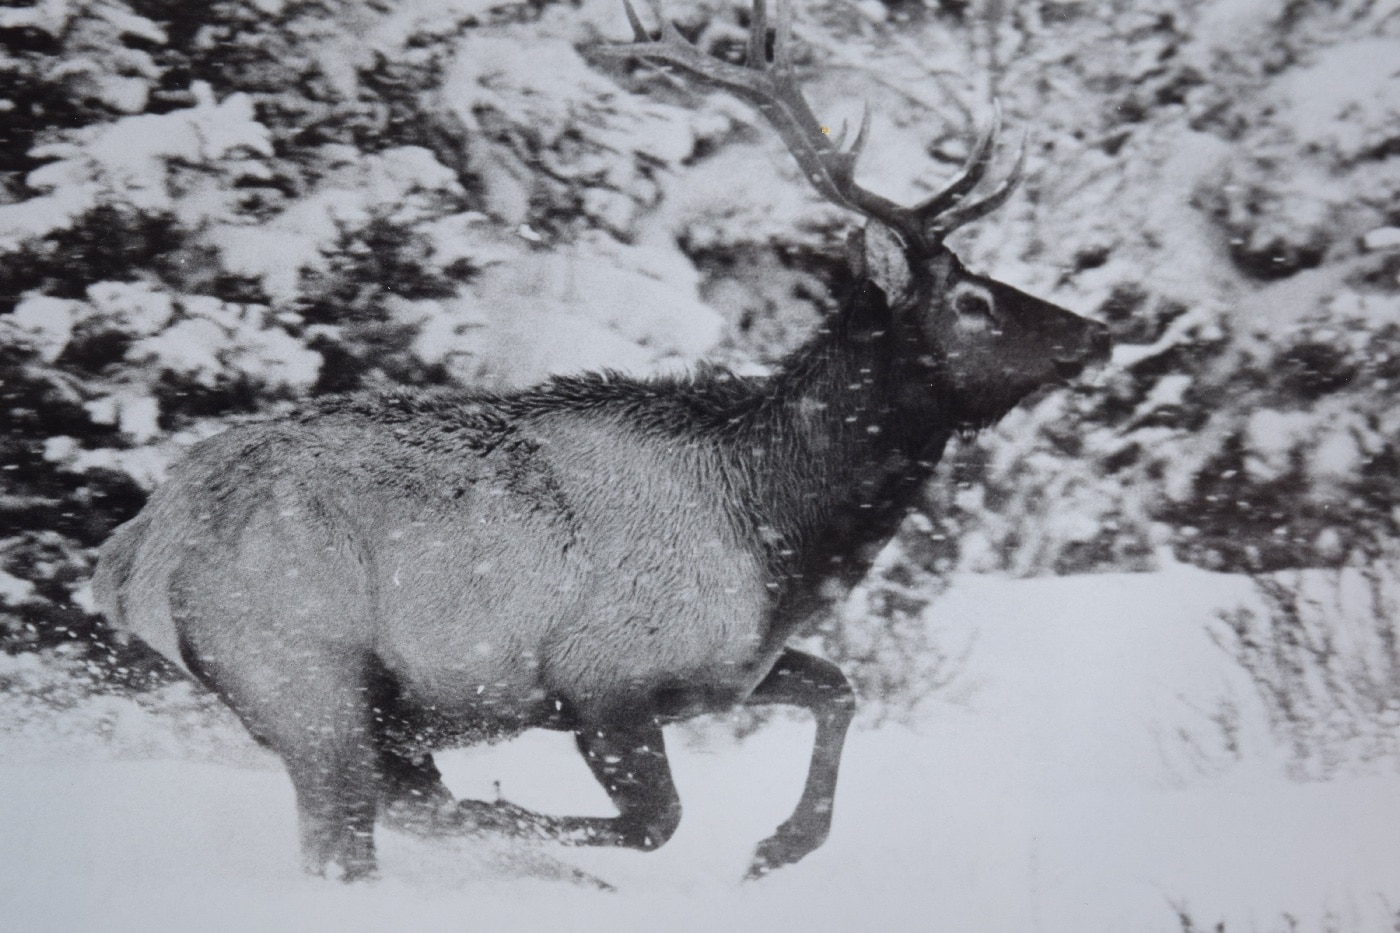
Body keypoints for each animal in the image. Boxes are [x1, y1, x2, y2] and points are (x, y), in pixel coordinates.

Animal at [93, 0, 1108, 879]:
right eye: (972, 301)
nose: (1096, 330)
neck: (781, 541)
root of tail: (130, 556)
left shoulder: (728, 675)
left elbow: (839, 688)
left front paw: (777, 846)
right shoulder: (601, 679)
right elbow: (654, 819)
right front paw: (517, 827)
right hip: (305, 675)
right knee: (355, 825)